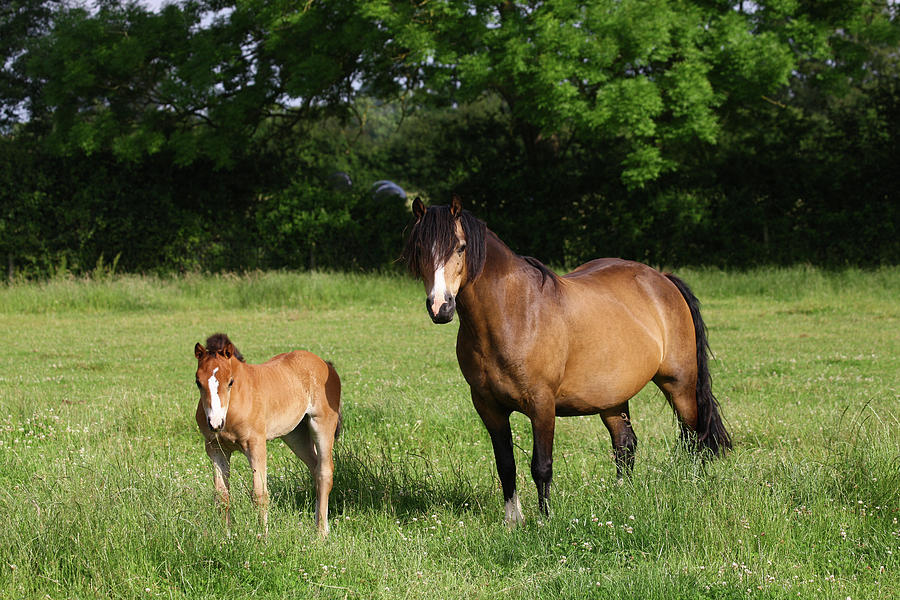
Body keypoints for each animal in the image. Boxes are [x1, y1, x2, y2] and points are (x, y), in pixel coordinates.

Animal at [193, 336, 342, 536]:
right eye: (198, 382)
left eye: (230, 382)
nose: (215, 423)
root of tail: (325, 364)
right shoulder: (215, 448)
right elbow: (221, 495)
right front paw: (226, 536)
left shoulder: (256, 444)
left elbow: (259, 494)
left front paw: (262, 537)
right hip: (295, 435)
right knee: (315, 468)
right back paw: (320, 524)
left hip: (322, 424)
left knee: (324, 472)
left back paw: (321, 533)